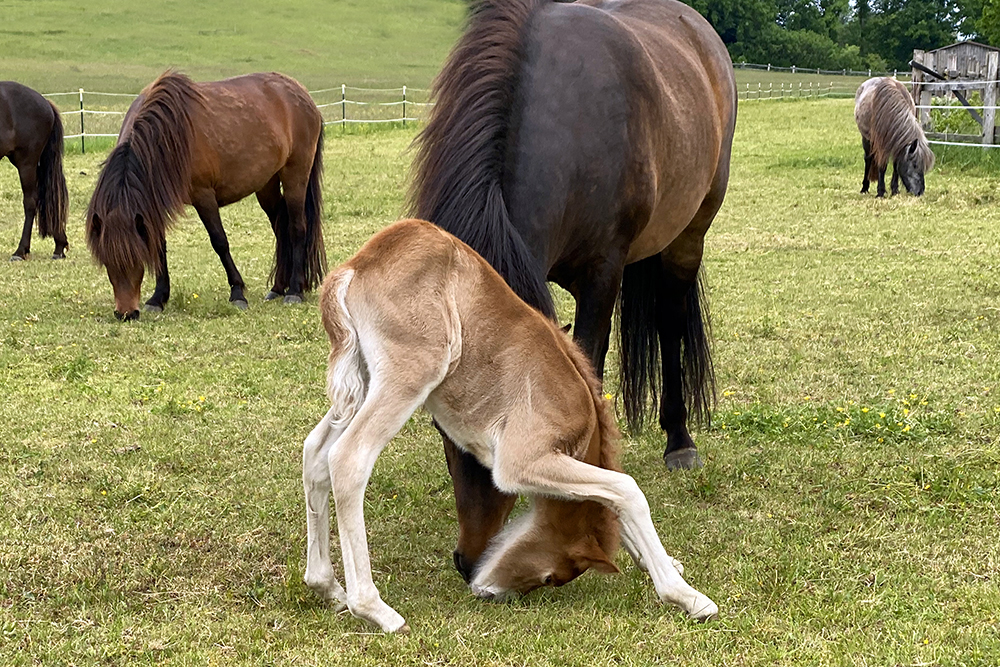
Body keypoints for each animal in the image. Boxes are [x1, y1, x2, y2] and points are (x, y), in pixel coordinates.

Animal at [85, 72, 326, 322]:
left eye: (136, 258)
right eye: (106, 262)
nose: (126, 313)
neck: (168, 136)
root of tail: (303, 94)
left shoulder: (204, 197)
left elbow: (220, 242)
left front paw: (237, 293)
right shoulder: (153, 206)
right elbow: (160, 247)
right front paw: (157, 298)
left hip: (295, 176)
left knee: (297, 228)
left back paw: (294, 290)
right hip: (266, 184)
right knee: (281, 227)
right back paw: (277, 288)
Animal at [300, 220, 716, 636]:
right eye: (551, 577)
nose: (488, 592)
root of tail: (352, 269)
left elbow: (612, 495)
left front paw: (665, 563)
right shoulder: (521, 461)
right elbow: (625, 489)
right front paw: (689, 597)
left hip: (363, 383)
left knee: (315, 452)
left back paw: (327, 586)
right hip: (408, 377)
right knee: (348, 458)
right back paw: (374, 608)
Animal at [410, 0, 740, 584]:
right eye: (439, 427)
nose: (471, 561)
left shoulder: (602, 274)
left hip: (689, 235)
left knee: (671, 323)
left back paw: (679, 441)